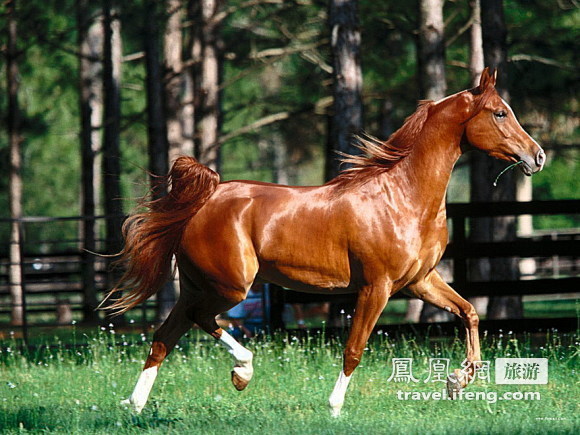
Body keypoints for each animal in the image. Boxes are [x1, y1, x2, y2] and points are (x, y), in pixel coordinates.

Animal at [107, 70, 544, 418]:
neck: (403, 196)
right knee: (198, 320)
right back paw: (242, 371)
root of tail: (206, 198)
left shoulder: (419, 281)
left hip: (200, 284)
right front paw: (334, 407)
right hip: (231, 286)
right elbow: (354, 348)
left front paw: (456, 381)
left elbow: (469, 313)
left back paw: (134, 405)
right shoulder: (376, 287)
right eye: (500, 112)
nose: (537, 156)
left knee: (165, 336)